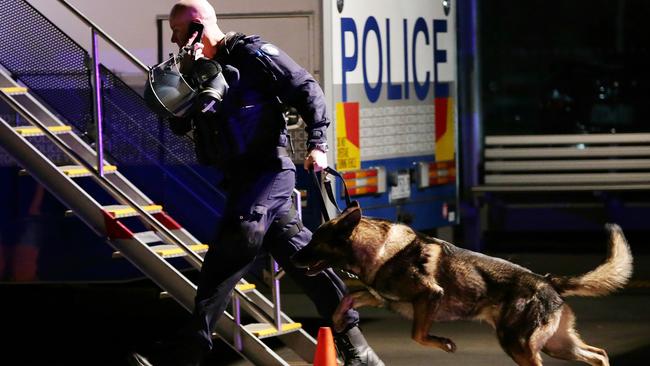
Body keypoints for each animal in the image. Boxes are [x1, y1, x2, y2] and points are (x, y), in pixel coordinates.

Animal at [292, 203, 632, 366]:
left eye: (315, 241)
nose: (293, 257)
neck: (376, 248)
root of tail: (548, 282)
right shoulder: (379, 296)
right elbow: (347, 300)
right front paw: (339, 324)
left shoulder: (429, 296)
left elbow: (417, 335)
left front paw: (444, 343)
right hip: (556, 345)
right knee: (598, 354)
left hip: (519, 344)